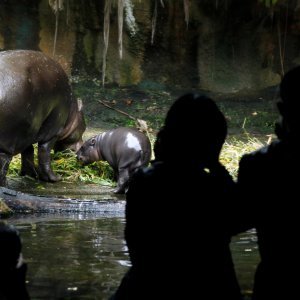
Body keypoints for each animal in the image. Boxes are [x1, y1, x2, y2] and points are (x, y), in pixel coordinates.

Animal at [0, 49, 86, 186]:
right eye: (83, 128)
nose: (80, 152)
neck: (72, 113)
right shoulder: (53, 131)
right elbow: (44, 154)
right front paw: (55, 178)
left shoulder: (29, 131)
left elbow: (28, 153)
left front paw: (30, 174)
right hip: (8, 143)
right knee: (4, 162)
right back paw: (5, 184)